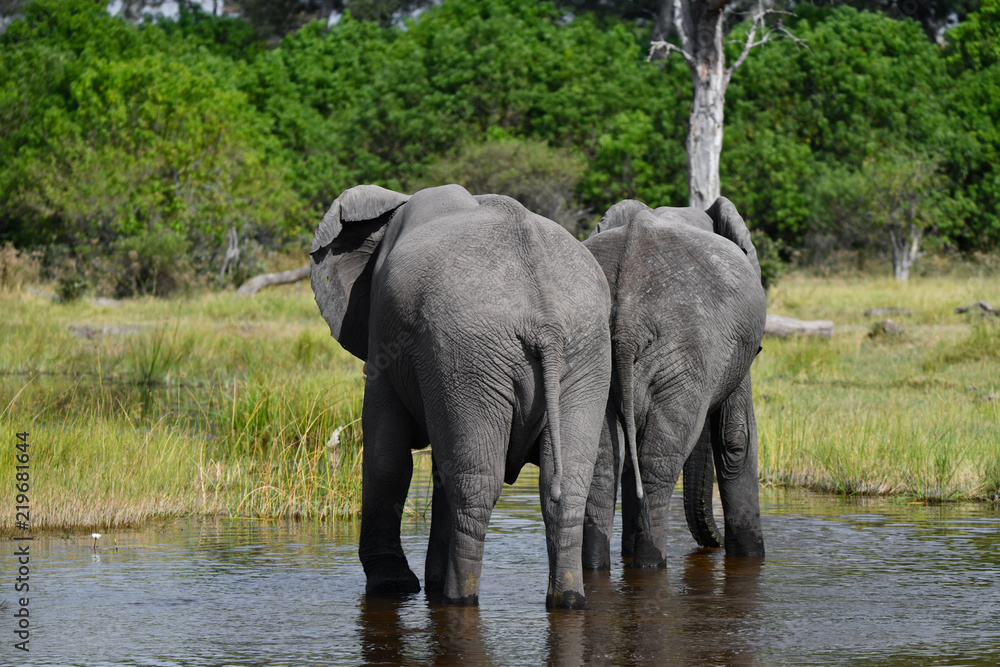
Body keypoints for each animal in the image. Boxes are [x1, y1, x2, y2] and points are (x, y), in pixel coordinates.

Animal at [309, 184, 612, 607]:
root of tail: (544, 319)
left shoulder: (386, 343)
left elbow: (387, 456)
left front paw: (391, 587)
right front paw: (415, 584)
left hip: (468, 353)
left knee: (475, 485)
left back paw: (457, 599)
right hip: (583, 354)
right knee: (564, 481)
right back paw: (566, 600)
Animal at [580, 196, 767, 569]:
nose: (713, 545)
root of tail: (627, 318)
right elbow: (735, 439)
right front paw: (753, 559)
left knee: (605, 465)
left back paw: (597, 569)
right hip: (685, 352)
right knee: (658, 463)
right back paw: (651, 564)